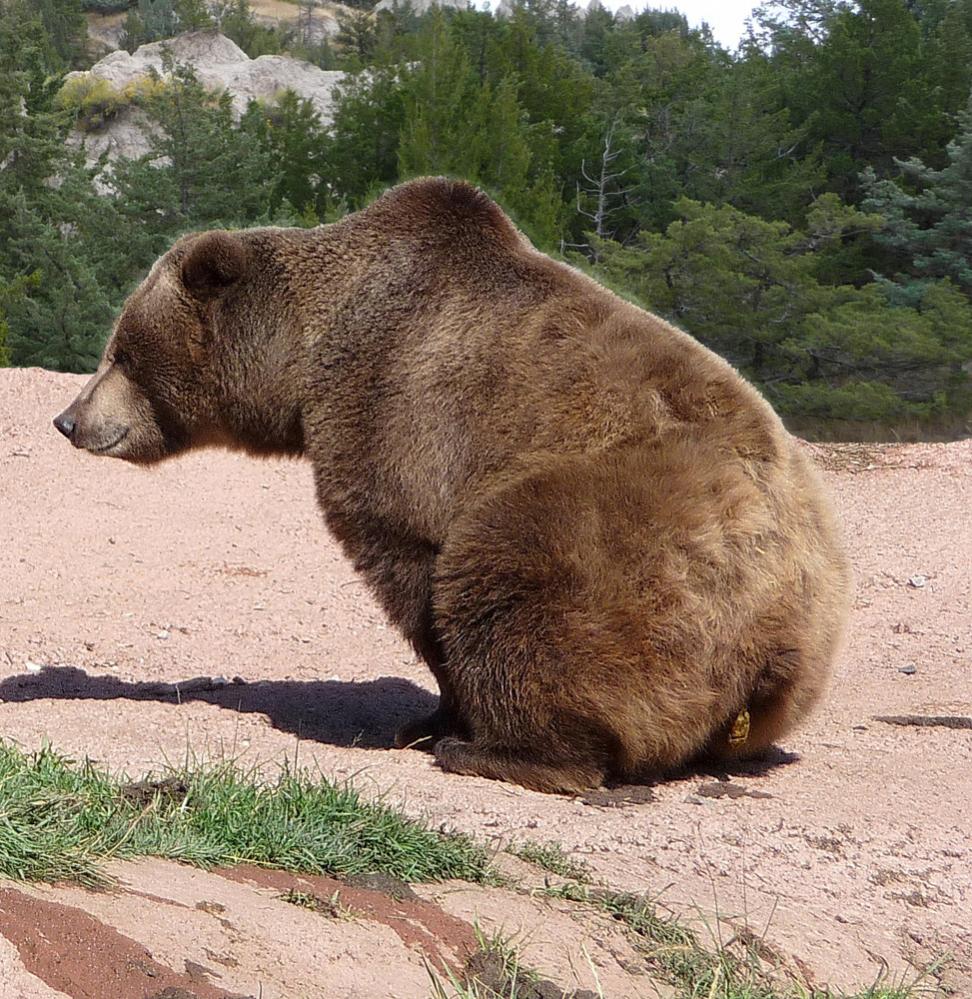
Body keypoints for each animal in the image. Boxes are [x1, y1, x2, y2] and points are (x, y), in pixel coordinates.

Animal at [54, 177, 851, 794]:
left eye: (122, 351)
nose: (69, 418)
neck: (309, 362)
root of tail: (780, 613)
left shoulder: (395, 413)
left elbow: (411, 568)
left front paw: (433, 716)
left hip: (620, 533)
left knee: (512, 574)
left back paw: (497, 751)